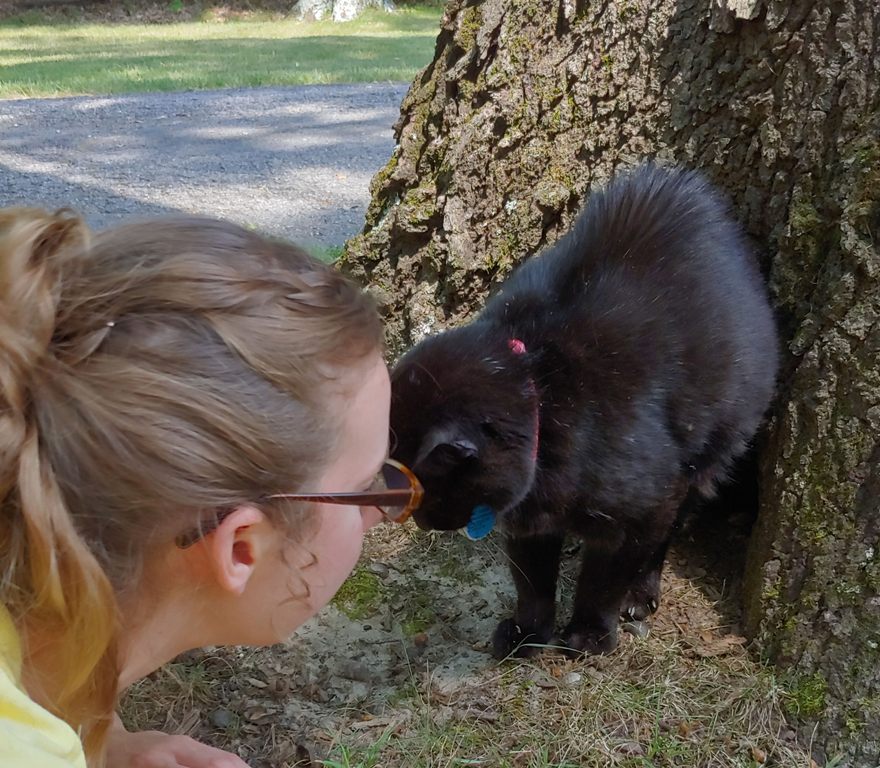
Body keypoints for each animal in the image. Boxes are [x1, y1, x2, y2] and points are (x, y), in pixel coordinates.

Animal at [388, 165, 780, 656]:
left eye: (425, 492)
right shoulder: (528, 526)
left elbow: (604, 579)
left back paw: (640, 596)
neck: (545, 397)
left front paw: (590, 633)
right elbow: (532, 582)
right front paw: (528, 633)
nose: (422, 523)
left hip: (707, 457)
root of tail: (684, 182)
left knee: (666, 536)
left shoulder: (645, 507)